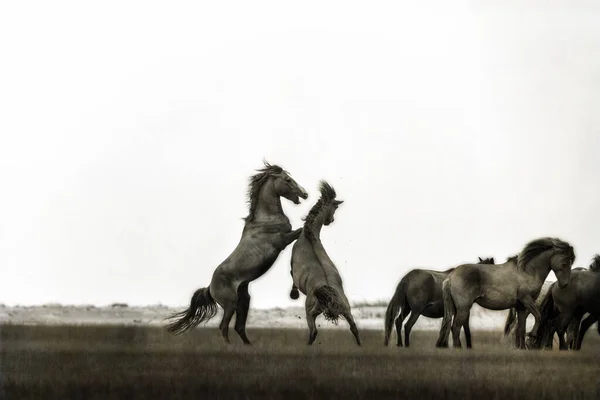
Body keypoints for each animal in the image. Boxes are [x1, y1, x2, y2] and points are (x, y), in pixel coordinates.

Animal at [165, 162, 310, 344]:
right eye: (287, 180)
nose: (305, 194)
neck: (266, 219)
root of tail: (209, 288)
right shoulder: (283, 241)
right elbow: (301, 230)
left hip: (244, 301)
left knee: (239, 327)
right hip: (230, 304)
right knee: (224, 327)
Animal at [290, 180, 360, 346]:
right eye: (335, 207)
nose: (331, 220)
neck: (309, 237)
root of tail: (329, 295)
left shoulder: (291, 265)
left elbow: (291, 277)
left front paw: (293, 294)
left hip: (310, 312)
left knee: (313, 331)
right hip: (347, 310)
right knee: (354, 328)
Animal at [438, 238, 576, 350]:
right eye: (565, 262)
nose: (564, 284)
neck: (527, 272)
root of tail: (450, 277)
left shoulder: (521, 307)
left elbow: (521, 329)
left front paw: (522, 348)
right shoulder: (526, 300)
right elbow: (538, 316)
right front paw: (532, 334)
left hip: (457, 309)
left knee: (453, 327)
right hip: (463, 309)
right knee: (455, 328)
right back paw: (458, 349)